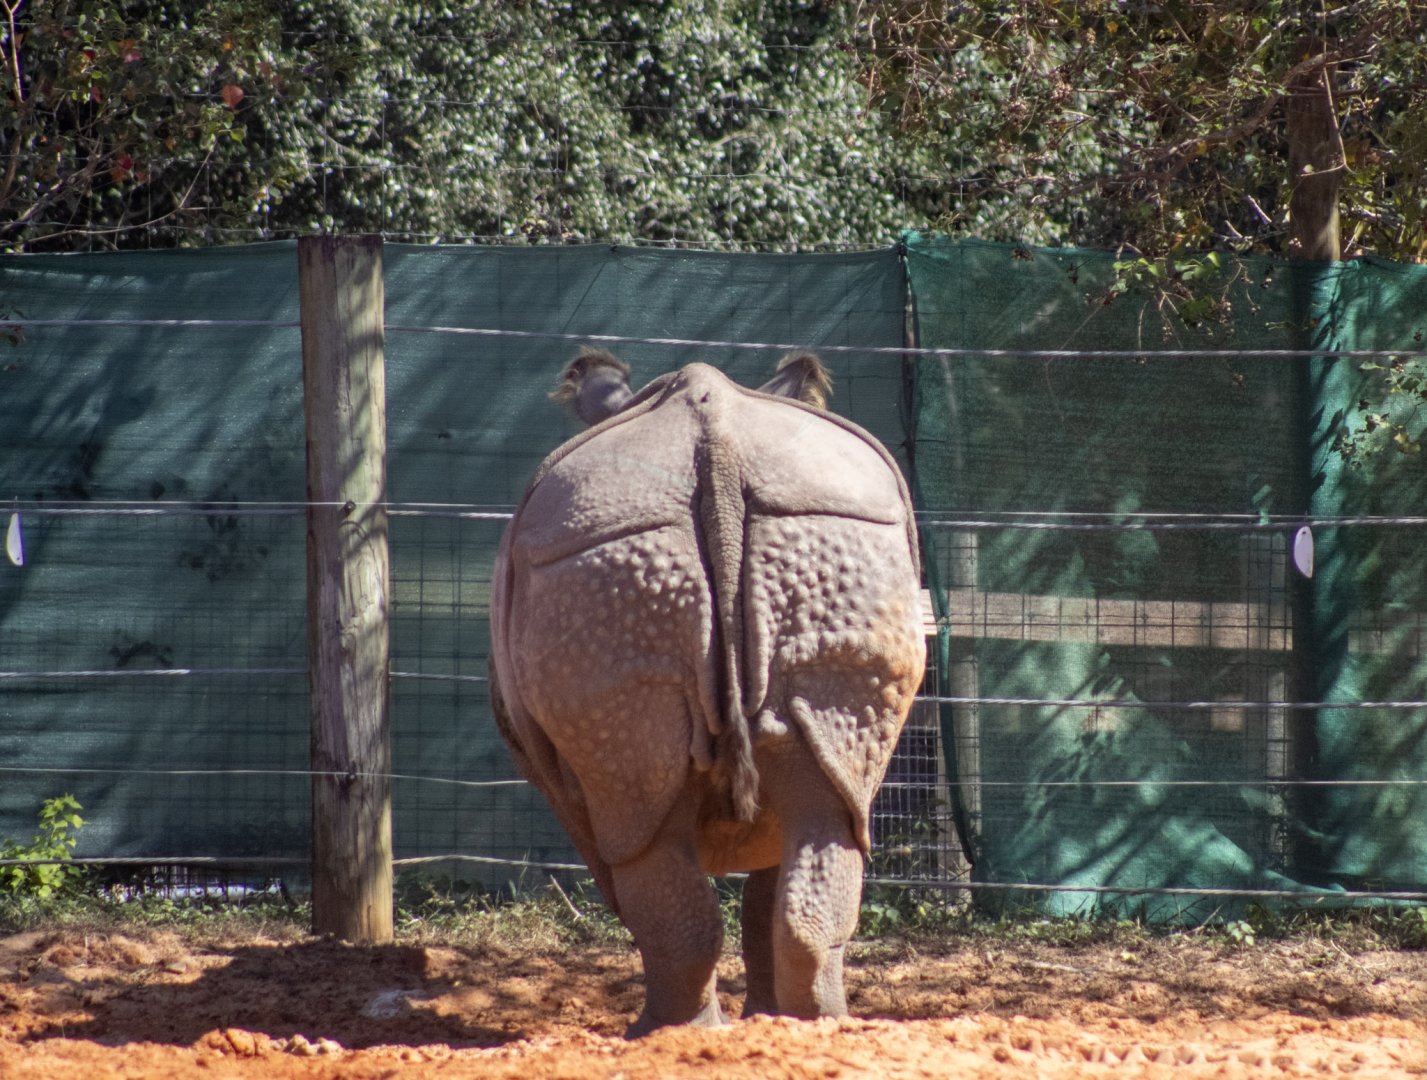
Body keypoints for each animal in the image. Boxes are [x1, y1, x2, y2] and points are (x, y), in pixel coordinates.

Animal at [489, 347, 925, 1036]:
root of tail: (717, 446)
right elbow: (768, 880)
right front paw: (765, 1017)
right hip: (832, 538)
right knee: (829, 813)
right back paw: (819, 1025)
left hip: (602, 557)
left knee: (647, 830)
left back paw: (661, 1032)